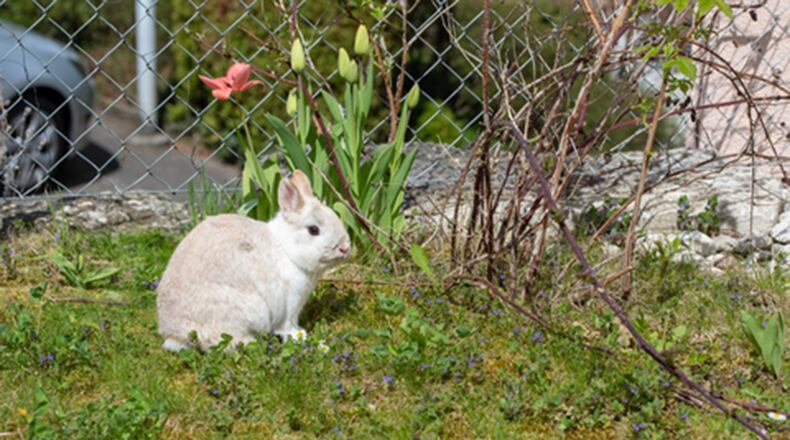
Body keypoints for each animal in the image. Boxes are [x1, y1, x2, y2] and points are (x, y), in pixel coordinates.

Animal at [156, 170, 351, 352]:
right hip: (251, 311)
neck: (286, 248)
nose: (345, 248)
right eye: (313, 230)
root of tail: (174, 333)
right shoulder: (289, 305)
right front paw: (300, 335)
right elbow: (287, 326)